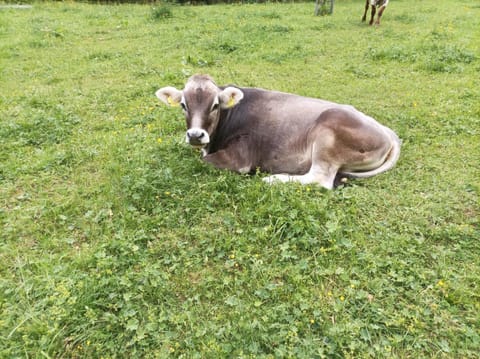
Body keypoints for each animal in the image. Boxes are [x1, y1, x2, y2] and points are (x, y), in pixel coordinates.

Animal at [156, 74, 400, 190]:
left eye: (215, 105)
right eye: (183, 105)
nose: (196, 135)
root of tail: (388, 133)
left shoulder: (241, 158)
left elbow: (201, 161)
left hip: (327, 134)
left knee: (320, 178)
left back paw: (274, 179)